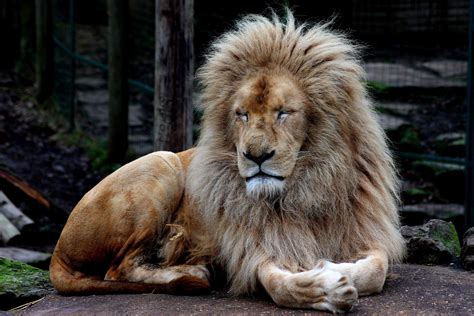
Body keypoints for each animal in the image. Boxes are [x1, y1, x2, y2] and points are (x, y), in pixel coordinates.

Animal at [49, 11, 404, 312]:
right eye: (241, 115)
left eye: (283, 112)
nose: (256, 156)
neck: (306, 186)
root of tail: (56, 250)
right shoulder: (253, 249)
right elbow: (281, 287)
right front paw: (328, 288)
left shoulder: (366, 233)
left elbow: (377, 268)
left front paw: (332, 267)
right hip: (163, 163)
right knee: (117, 269)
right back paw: (195, 271)